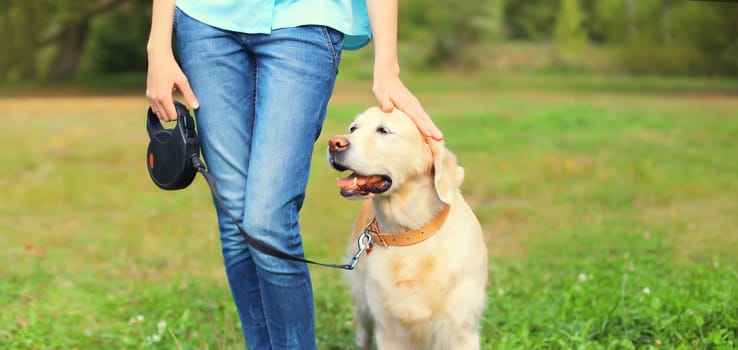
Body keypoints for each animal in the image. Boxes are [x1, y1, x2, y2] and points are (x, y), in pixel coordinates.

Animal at [328, 107, 488, 350]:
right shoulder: (389, 331)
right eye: (353, 128)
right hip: (362, 301)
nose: (334, 143)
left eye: (383, 130)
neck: (408, 233)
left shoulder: (461, 330)